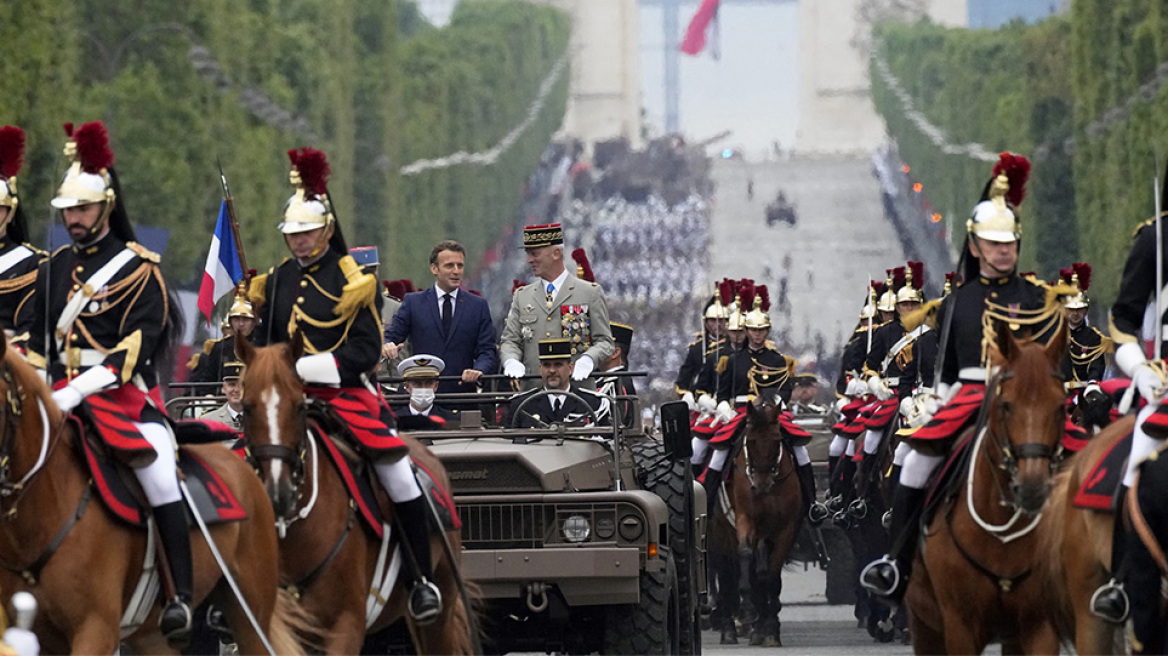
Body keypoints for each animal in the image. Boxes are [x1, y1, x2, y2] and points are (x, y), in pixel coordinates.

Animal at [724, 392, 808, 644]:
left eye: (777, 439)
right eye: (750, 440)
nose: (761, 486)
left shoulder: (786, 528)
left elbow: (771, 573)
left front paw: (770, 628)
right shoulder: (744, 518)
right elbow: (745, 555)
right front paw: (748, 609)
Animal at [901, 322, 1069, 653]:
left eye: (1060, 406)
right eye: (1006, 405)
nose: (1032, 486)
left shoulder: (1039, 626)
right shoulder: (960, 626)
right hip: (924, 624)